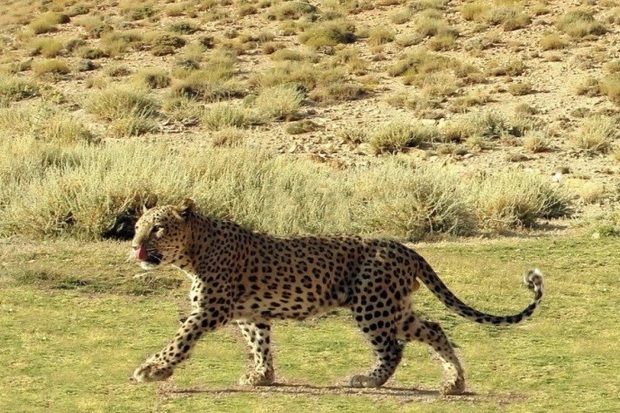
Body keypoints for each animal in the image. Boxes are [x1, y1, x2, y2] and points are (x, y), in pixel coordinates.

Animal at [130, 199, 544, 392]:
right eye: (137, 227)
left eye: (158, 228)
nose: (134, 246)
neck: (193, 252)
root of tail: (404, 246)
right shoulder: (250, 313)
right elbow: (259, 343)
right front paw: (262, 376)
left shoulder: (211, 310)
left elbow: (180, 340)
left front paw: (153, 369)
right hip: (394, 307)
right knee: (433, 329)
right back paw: (453, 383)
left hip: (372, 306)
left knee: (393, 348)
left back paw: (368, 380)